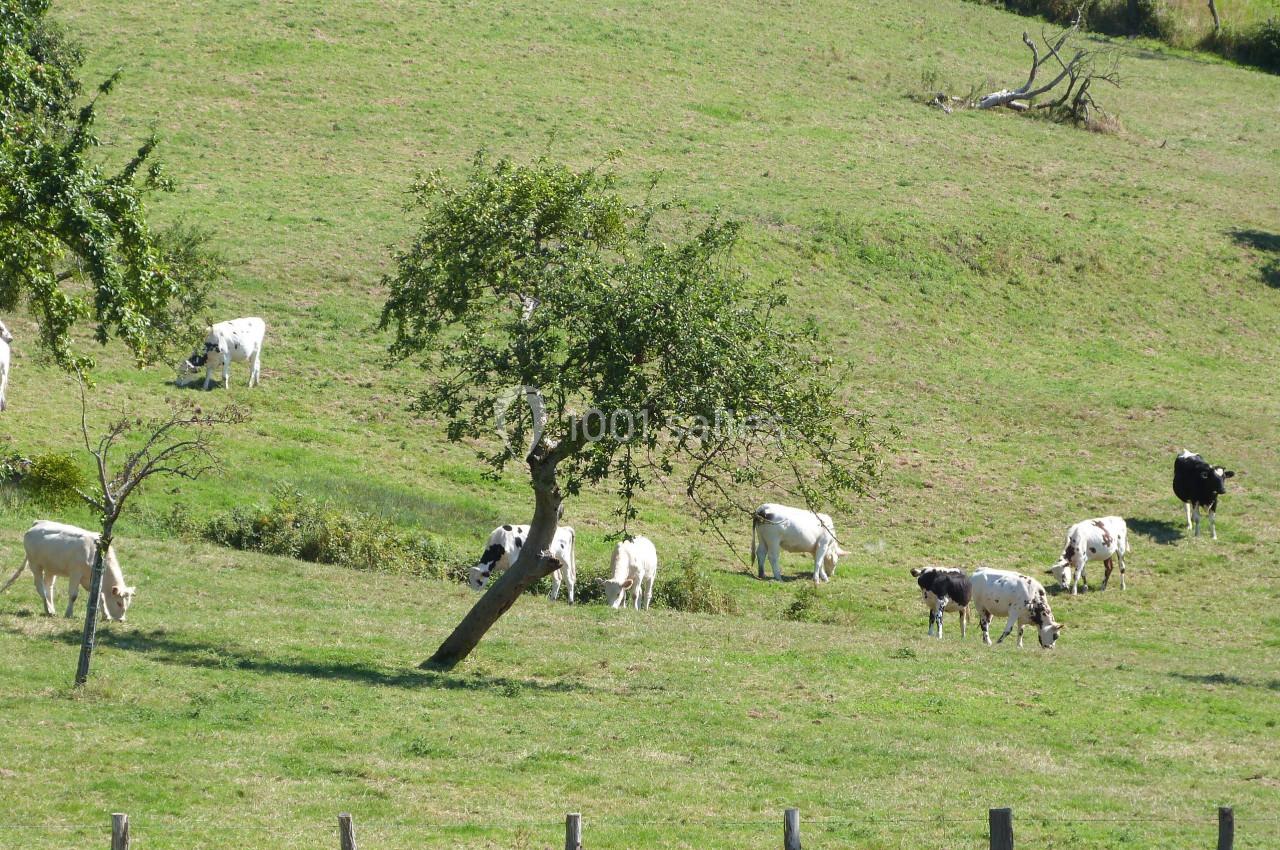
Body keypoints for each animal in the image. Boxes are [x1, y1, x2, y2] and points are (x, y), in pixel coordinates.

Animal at [0, 521, 135, 621]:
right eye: (119, 603)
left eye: (128, 604)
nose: (122, 620)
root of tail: (38, 523)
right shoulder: (76, 573)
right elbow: (73, 595)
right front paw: (68, 613)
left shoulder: (91, 578)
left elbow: (99, 596)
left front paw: (106, 616)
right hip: (35, 565)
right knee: (40, 588)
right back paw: (49, 610)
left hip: (50, 568)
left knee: (49, 588)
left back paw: (51, 609)